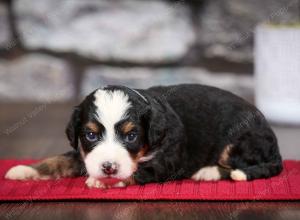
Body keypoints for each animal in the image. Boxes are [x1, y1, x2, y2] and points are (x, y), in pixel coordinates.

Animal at [5, 83, 284, 188]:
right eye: (91, 135)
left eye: (131, 137)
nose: (108, 167)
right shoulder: (84, 152)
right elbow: (58, 159)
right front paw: (24, 170)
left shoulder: (167, 160)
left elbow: (139, 171)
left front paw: (105, 181)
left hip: (240, 139)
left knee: (239, 165)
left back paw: (208, 172)